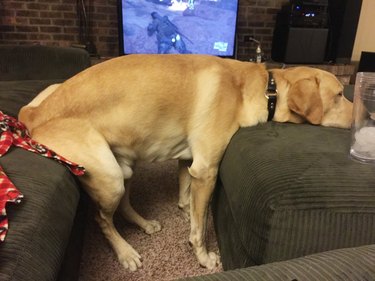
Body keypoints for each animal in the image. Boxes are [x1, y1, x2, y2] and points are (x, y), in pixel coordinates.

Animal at [16, 53, 352, 270]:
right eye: (339, 94)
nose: (360, 114)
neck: (264, 88)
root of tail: (33, 113)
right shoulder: (206, 171)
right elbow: (199, 229)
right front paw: (203, 258)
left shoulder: (189, 162)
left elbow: (187, 201)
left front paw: (185, 210)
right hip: (108, 175)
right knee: (102, 219)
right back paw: (125, 252)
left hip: (124, 165)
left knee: (123, 206)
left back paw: (143, 223)